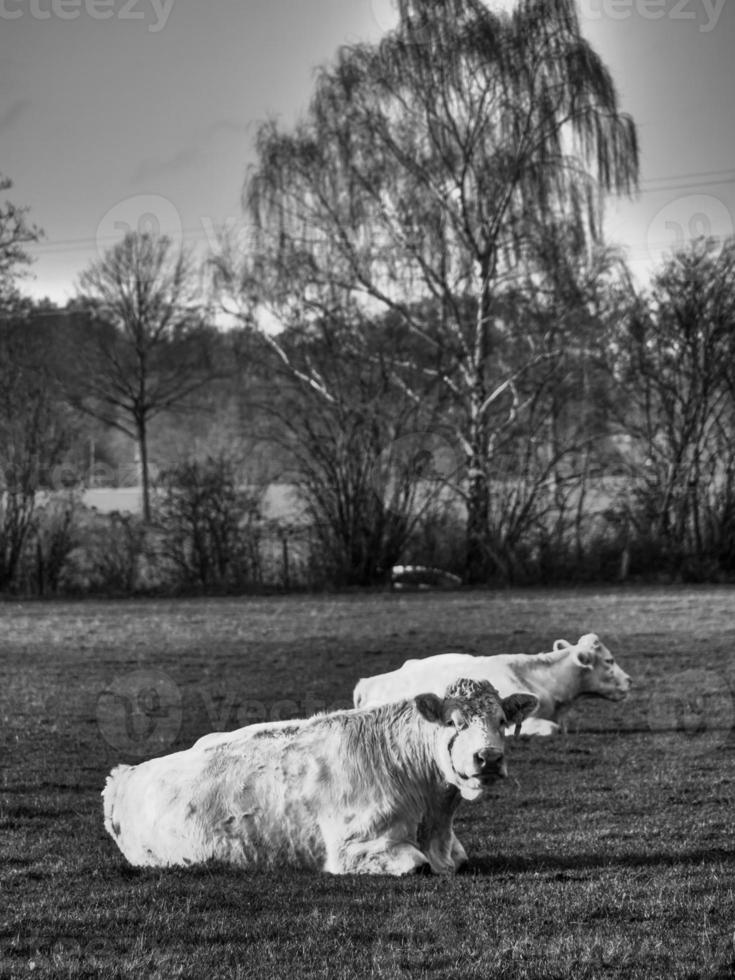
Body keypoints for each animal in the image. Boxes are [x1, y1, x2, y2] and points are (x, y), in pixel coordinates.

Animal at [102, 676, 536, 876]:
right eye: (453, 722)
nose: (488, 758)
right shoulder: (354, 848)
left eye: (501, 720)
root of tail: (125, 776)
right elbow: (416, 864)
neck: (434, 817)